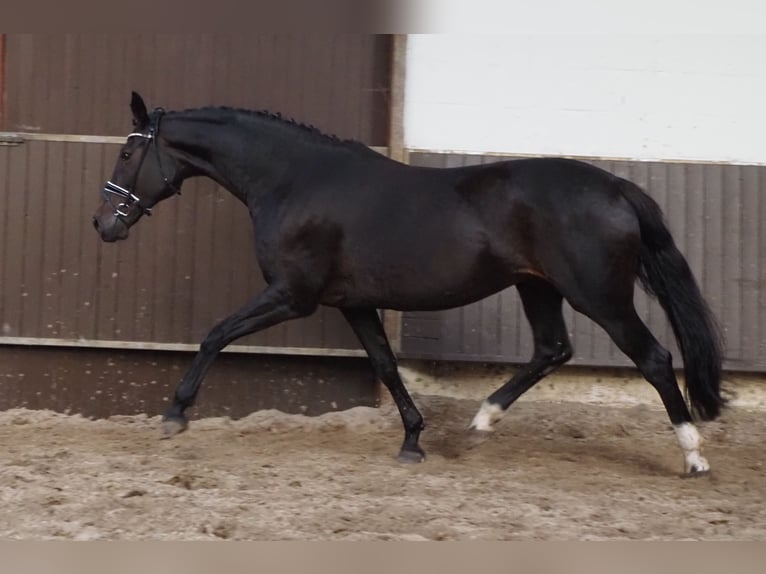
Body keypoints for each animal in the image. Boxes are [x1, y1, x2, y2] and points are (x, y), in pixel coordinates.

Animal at [93, 91, 724, 476]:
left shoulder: (293, 297)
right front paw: (413, 441)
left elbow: (215, 334)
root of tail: (617, 187)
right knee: (552, 349)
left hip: (601, 298)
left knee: (654, 358)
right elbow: (386, 365)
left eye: (126, 151)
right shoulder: (353, 304)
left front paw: (175, 415)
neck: (294, 180)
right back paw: (480, 422)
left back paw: (693, 457)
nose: (104, 225)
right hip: (538, 287)